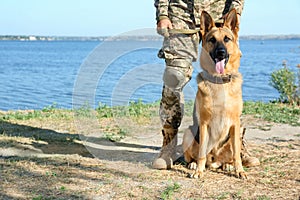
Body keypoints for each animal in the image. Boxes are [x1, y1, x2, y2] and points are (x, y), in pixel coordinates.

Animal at [183, 8, 246, 179]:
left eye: (227, 39)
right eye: (212, 40)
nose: (220, 53)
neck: (220, 81)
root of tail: (214, 160)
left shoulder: (235, 123)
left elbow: (237, 154)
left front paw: (239, 170)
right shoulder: (204, 123)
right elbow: (201, 153)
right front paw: (198, 170)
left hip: (236, 135)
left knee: (230, 155)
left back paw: (228, 165)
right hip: (188, 133)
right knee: (194, 155)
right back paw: (193, 164)